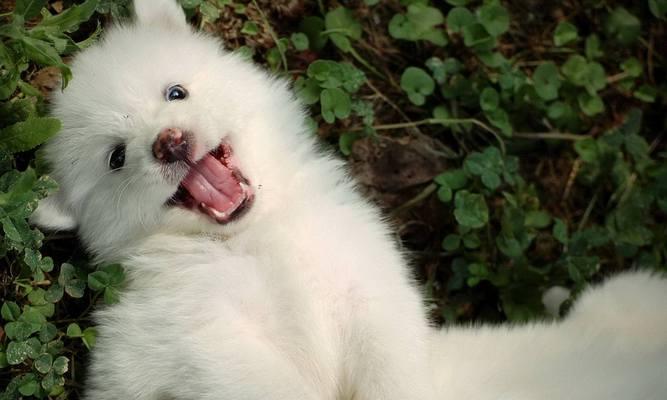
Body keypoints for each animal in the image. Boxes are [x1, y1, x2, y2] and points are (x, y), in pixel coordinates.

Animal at [34, 0, 667, 400]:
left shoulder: (367, 285)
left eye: (176, 92)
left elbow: (391, 363)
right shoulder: (196, 342)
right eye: (117, 158)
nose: (169, 142)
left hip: (625, 297)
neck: (255, 238)